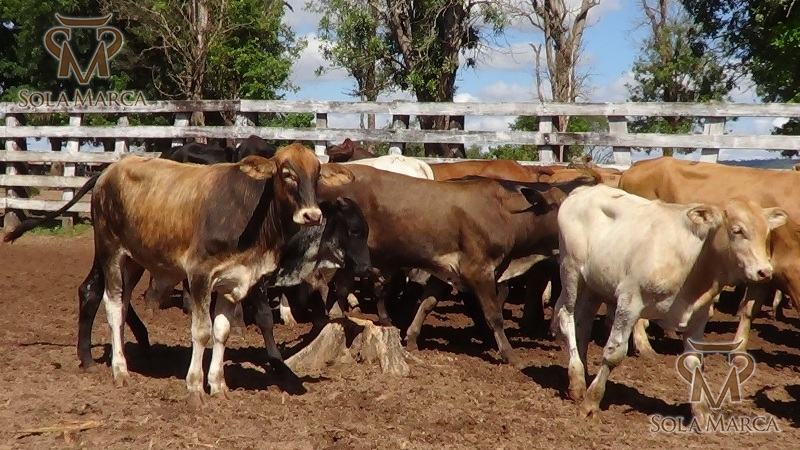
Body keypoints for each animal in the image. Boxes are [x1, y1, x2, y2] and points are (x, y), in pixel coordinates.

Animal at [3, 143, 355, 404]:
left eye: (317, 174)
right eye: (287, 174)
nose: (311, 215)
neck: (248, 211)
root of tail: (109, 170)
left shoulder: (234, 280)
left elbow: (222, 331)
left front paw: (219, 385)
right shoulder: (199, 275)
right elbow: (201, 332)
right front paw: (195, 387)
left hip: (135, 260)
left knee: (119, 301)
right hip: (110, 250)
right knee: (112, 304)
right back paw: (120, 370)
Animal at [317, 164, 600, 368]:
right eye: (559, 207)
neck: (505, 214)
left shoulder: (445, 271)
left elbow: (428, 303)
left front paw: (412, 337)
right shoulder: (479, 272)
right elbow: (494, 315)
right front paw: (509, 354)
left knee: (340, 288)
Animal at [551, 184, 787, 426]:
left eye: (767, 233)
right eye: (737, 230)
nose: (764, 271)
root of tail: (585, 189)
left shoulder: (699, 316)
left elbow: (694, 362)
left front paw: (702, 413)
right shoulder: (629, 301)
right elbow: (614, 353)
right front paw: (591, 403)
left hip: (594, 287)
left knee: (583, 324)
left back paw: (582, 372)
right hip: (571, 272)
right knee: (566, 316)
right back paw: (576, 380)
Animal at [618, 157, 800, 353]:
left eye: (767, 231)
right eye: (737, 230)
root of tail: (635, 167)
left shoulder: (763, 272)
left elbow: (749, 310)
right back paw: (643, 344)